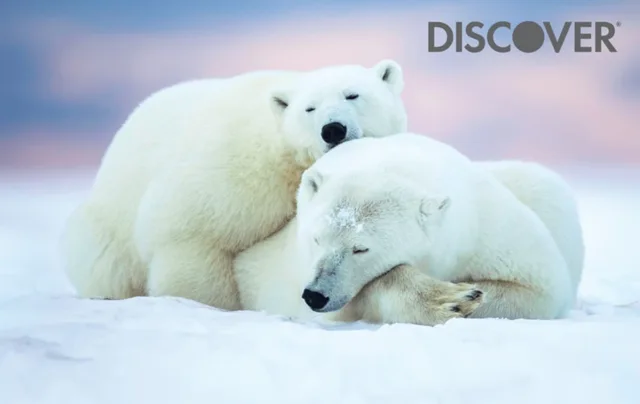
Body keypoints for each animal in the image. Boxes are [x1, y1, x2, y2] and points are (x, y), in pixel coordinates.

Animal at [61, 60, 408, 310]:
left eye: (353, 94)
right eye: (309, 108)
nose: (333, 129)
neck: (284, 157)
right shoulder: (232, 174)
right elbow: (193, 236)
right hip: (108, 229)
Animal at [234, 133, 584, 325]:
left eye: (360, 248)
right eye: (316, 238)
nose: (315, 295)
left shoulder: (486, 229)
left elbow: (537, 288)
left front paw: (464, 295)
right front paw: (451, 299)